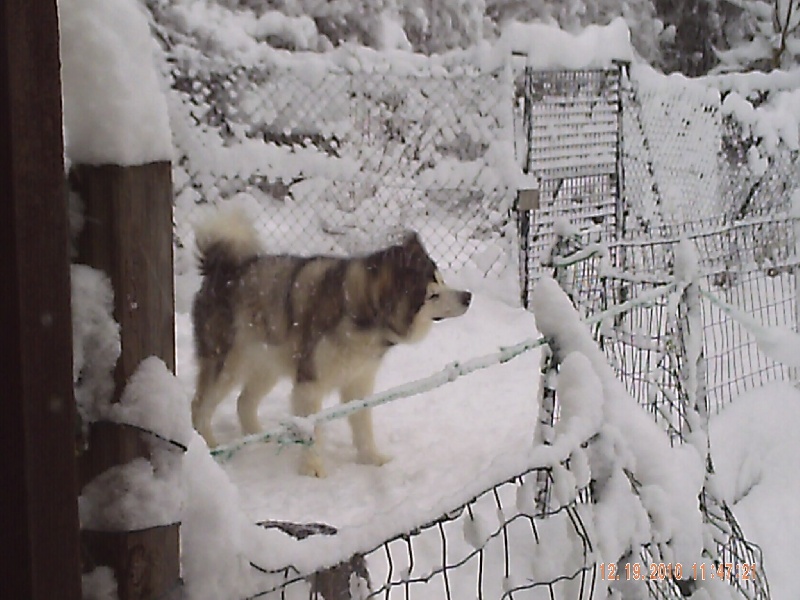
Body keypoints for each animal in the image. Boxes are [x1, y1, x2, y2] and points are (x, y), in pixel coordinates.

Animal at [191, 211, 472, 478]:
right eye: (432, 294)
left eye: (443, 280)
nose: (468, 296)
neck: (361, 312)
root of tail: (221, 268)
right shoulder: (309, 384)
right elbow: (312, 430)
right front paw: (312, 467)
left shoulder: (359, 381)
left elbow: (363, 425)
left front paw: (371, 459)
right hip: (227, 366)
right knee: (200, 408)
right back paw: (210, 449)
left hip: (266, 366)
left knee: (244, 402)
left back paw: (261, 441)